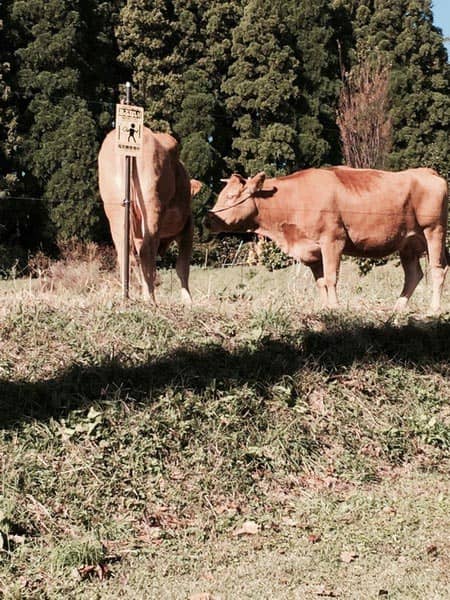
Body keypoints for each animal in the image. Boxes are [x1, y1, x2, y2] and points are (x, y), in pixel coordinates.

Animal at [98, 127, 201, 304]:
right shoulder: (188, 226)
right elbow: (182, 267)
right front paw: (188, 301)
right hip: (151, 203)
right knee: (147, 250)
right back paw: (151, 300)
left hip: (115, 208)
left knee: (126, 253)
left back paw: (131, 296)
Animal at [207, 167, 449, 312]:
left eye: (231, 196)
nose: (208, 219)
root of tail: (427, 172)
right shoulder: (312, 251)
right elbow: (321, 281)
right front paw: (324, 309)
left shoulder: (333, 240)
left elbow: (331, 278)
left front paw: (335, 307)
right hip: (408, 242)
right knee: (414, 274)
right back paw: (398, 307)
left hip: (434, 231)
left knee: (438, 270)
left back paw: (434, 309)